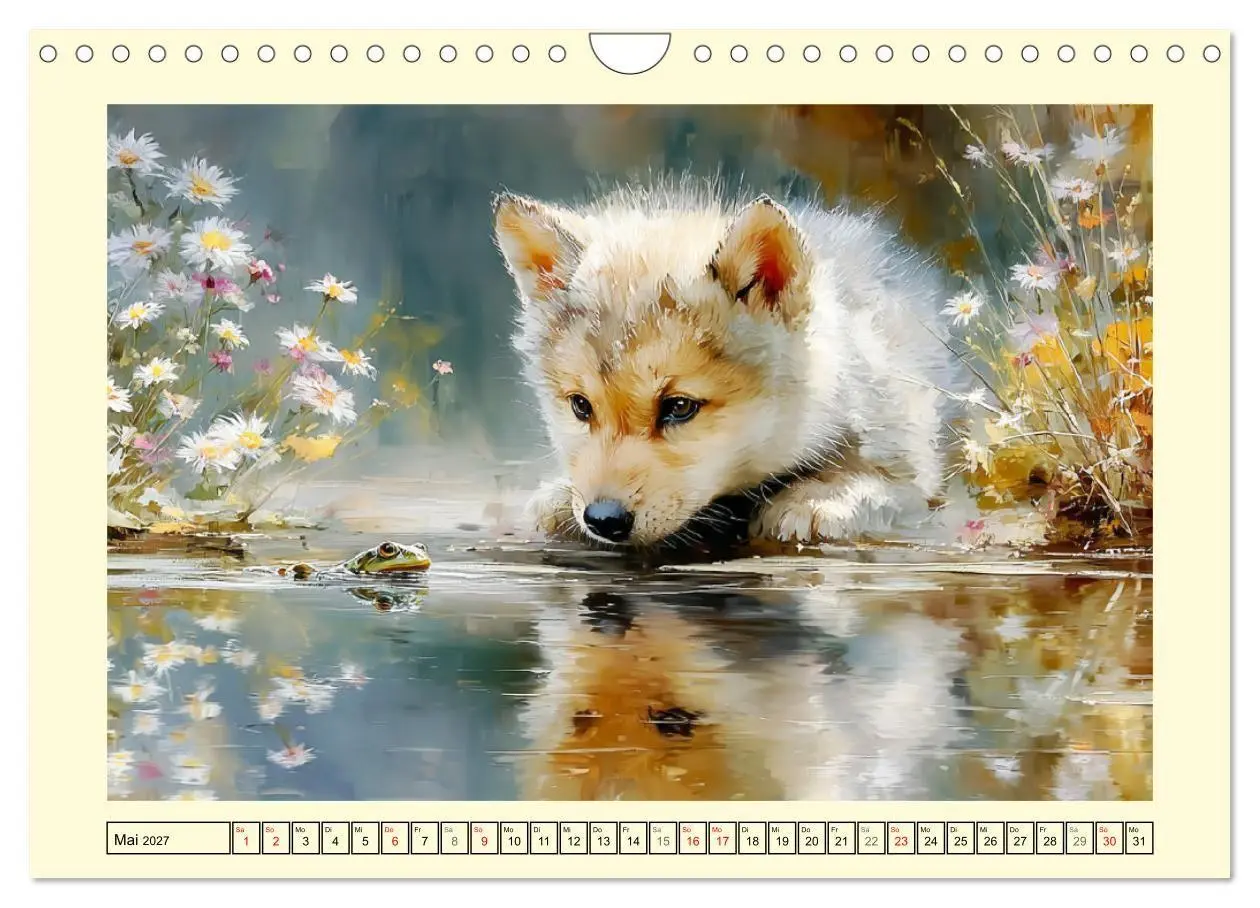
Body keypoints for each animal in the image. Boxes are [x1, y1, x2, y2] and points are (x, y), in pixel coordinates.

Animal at [493, 182, 964, 548]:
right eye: (580, 406)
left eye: (679, 407)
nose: (603, 519)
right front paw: (558, 497)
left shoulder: (912, 463)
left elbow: (877, 481)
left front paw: (814, 499)